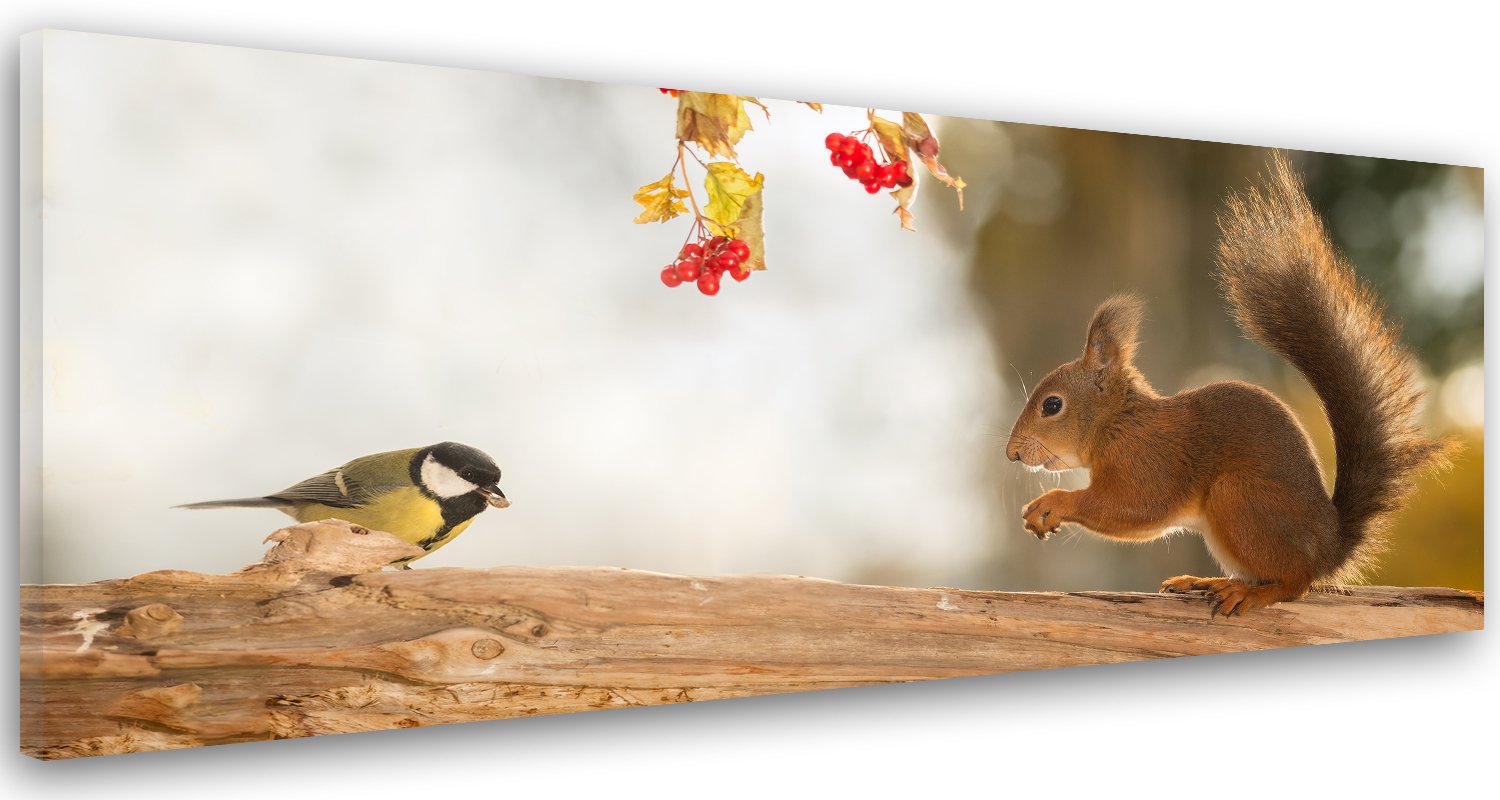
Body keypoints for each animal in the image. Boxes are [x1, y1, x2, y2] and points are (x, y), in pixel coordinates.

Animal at [1005, 153, 1455, 617]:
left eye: (1052, 405)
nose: (1012, 453)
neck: (1119, 423)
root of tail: (1328, 549)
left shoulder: (1149, 462)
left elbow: (1132, 508)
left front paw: (1052, 504)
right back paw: (1204, 581)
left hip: (1237, 498)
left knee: (1294, 582)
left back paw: (1250, 592)